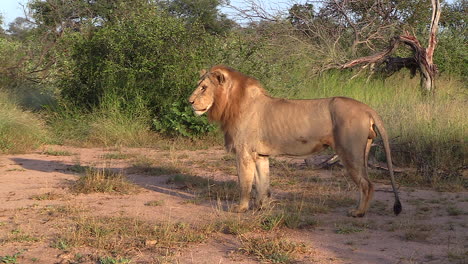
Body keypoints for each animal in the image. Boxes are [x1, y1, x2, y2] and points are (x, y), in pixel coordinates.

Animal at [188, 64, 400, 217]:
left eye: (203, 88)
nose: (189, 102)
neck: (230, 104)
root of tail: (367, 108)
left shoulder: (244, 153)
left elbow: (245, 184)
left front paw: (240, 209)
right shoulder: (260, 155)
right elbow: (262, 183)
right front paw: (261, 207)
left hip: (349, 152)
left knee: (367, 184)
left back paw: (358, 213)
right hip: (362, 151)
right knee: (365, 183)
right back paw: (357, 208)